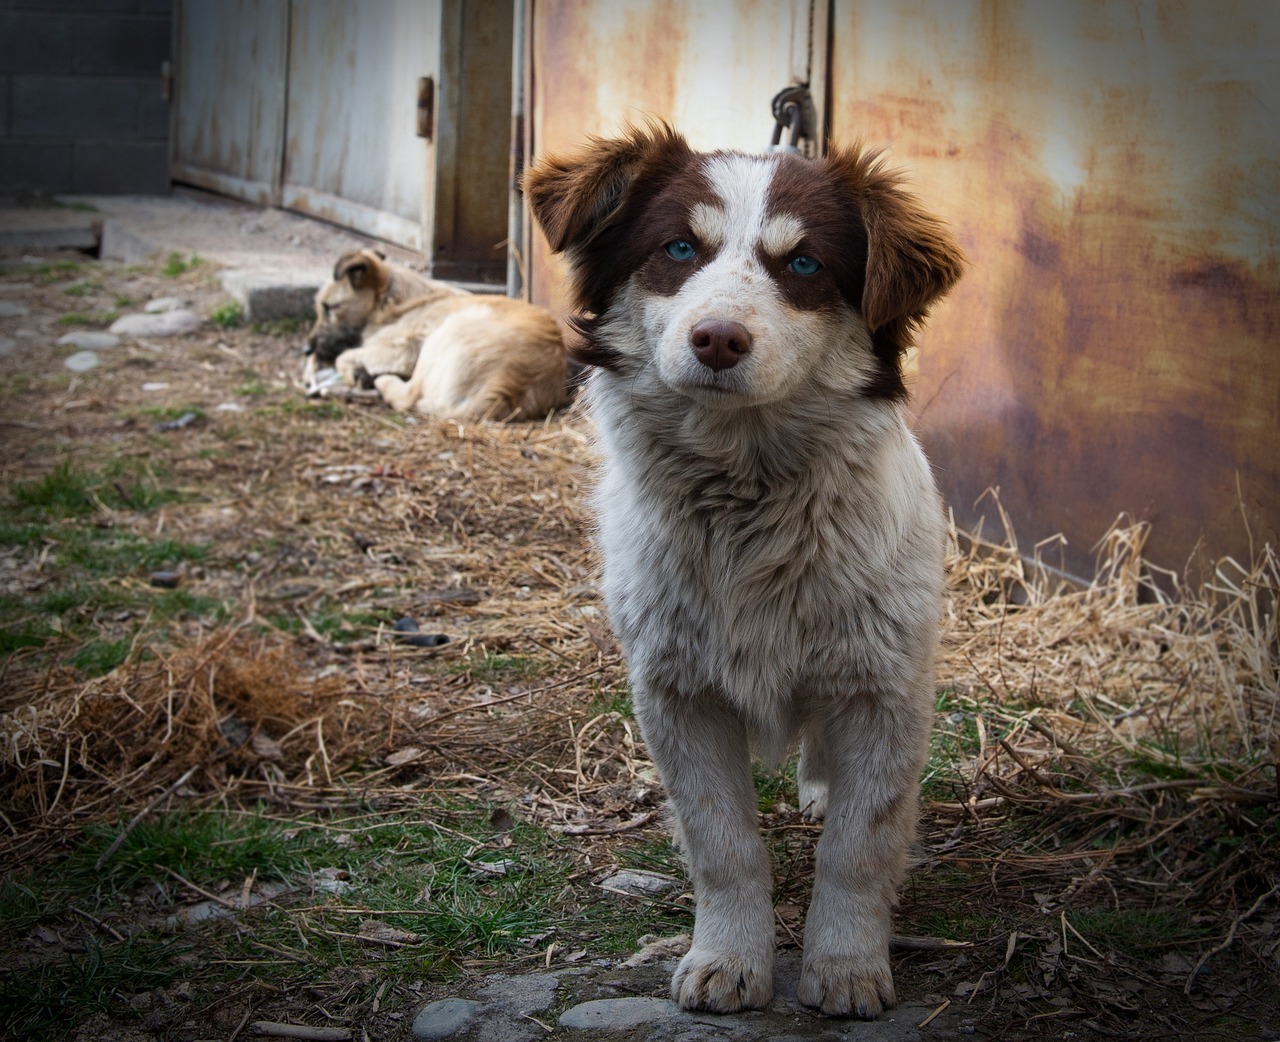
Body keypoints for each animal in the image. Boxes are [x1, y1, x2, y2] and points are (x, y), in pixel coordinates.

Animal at [304, 247, 565, 422]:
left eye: (328, 308)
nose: (306, 350)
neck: (393, 302)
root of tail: (505, 387)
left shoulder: (405, 349)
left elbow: (343, 357)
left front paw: (355, 373)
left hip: (442, 335)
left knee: (409, 395)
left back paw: (379, 380)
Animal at [527, 124, 962, 1018]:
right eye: (678, 248)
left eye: (804, 264)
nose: (719, 339)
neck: (747, 499)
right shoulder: (677, 694)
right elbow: (723, 844)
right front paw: (728, 959)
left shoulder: (885, 689)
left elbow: (860, 846)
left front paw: (846, 964)